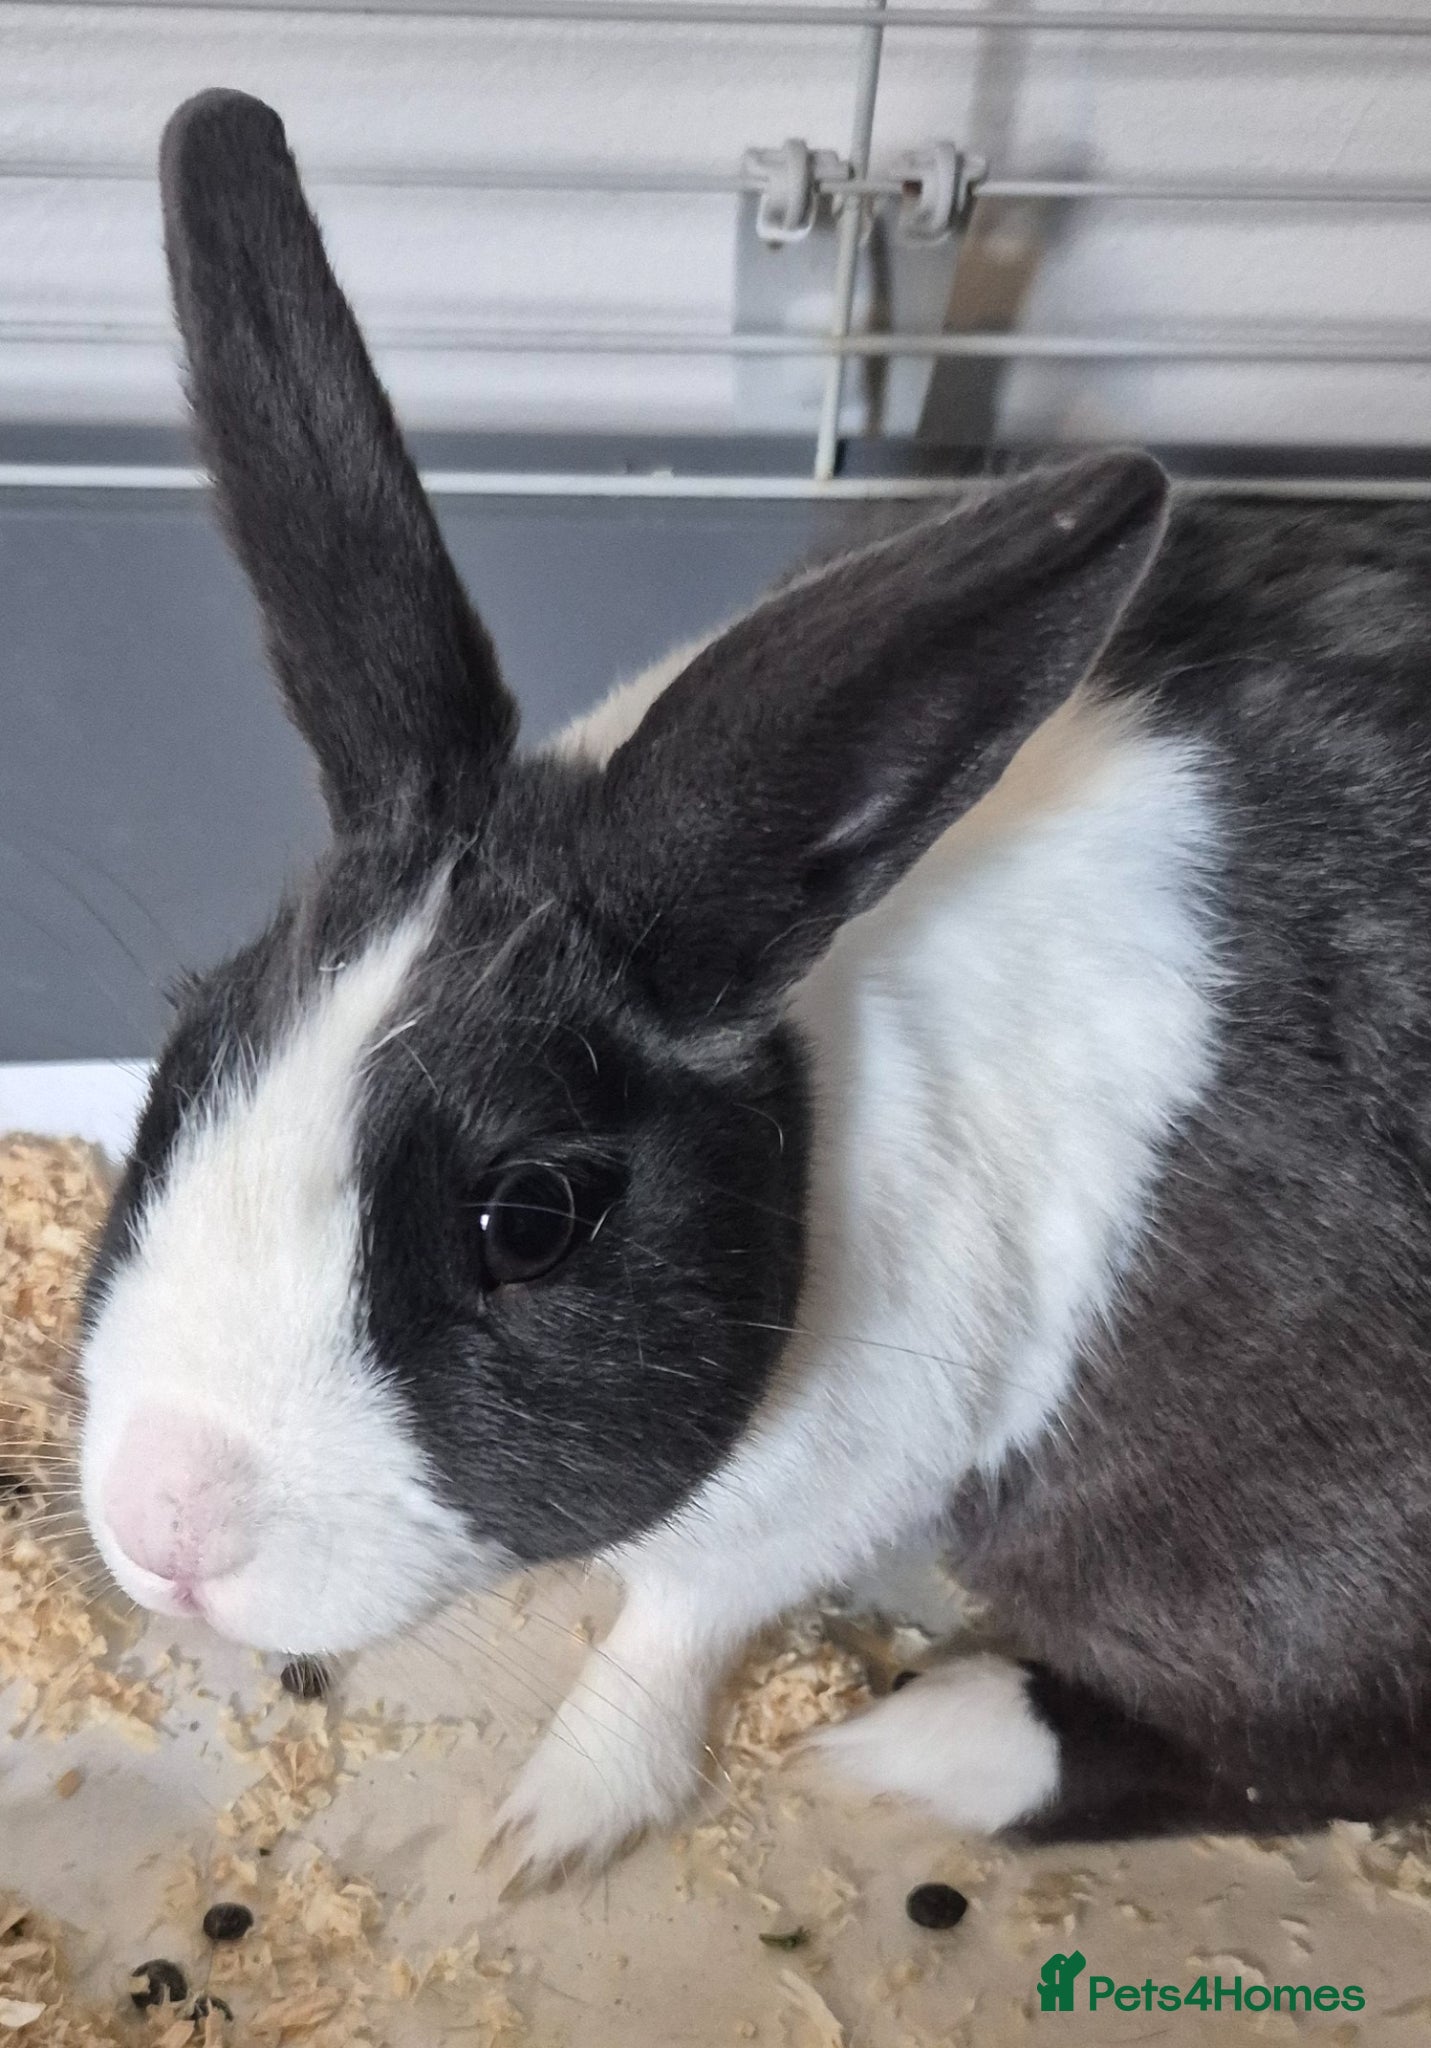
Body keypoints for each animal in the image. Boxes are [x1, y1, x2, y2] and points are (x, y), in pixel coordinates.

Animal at [76, 85, 1431, 1893]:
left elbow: (670, 1625)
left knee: (1309, 1738)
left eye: (530, 1219)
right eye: (181, 1067)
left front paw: (543, 1831)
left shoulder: (833, 1466)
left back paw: (919, 1744)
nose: (164, 1525)